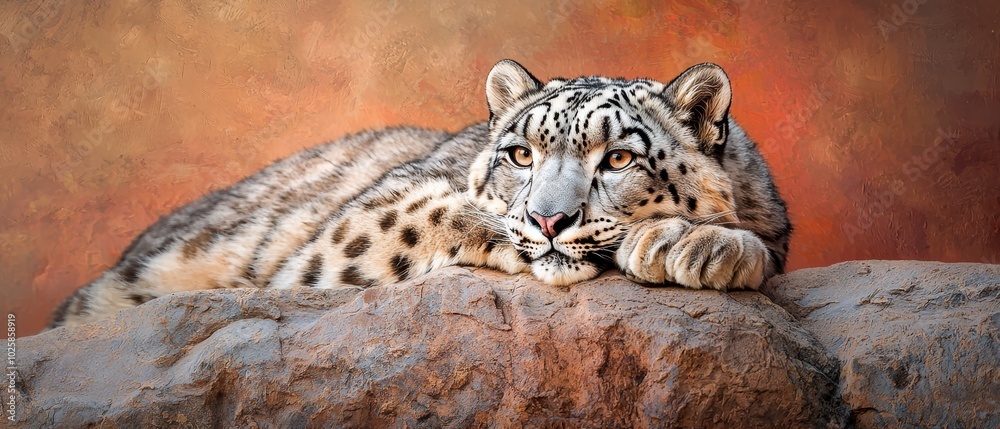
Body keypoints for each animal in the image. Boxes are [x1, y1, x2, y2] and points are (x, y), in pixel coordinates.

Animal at [49, 60, 791, 329]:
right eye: (521, 153)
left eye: (618, 158)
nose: (549, 219)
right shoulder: (350, 230)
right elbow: (433, 211)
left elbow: (759, 245)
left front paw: (698, 246)